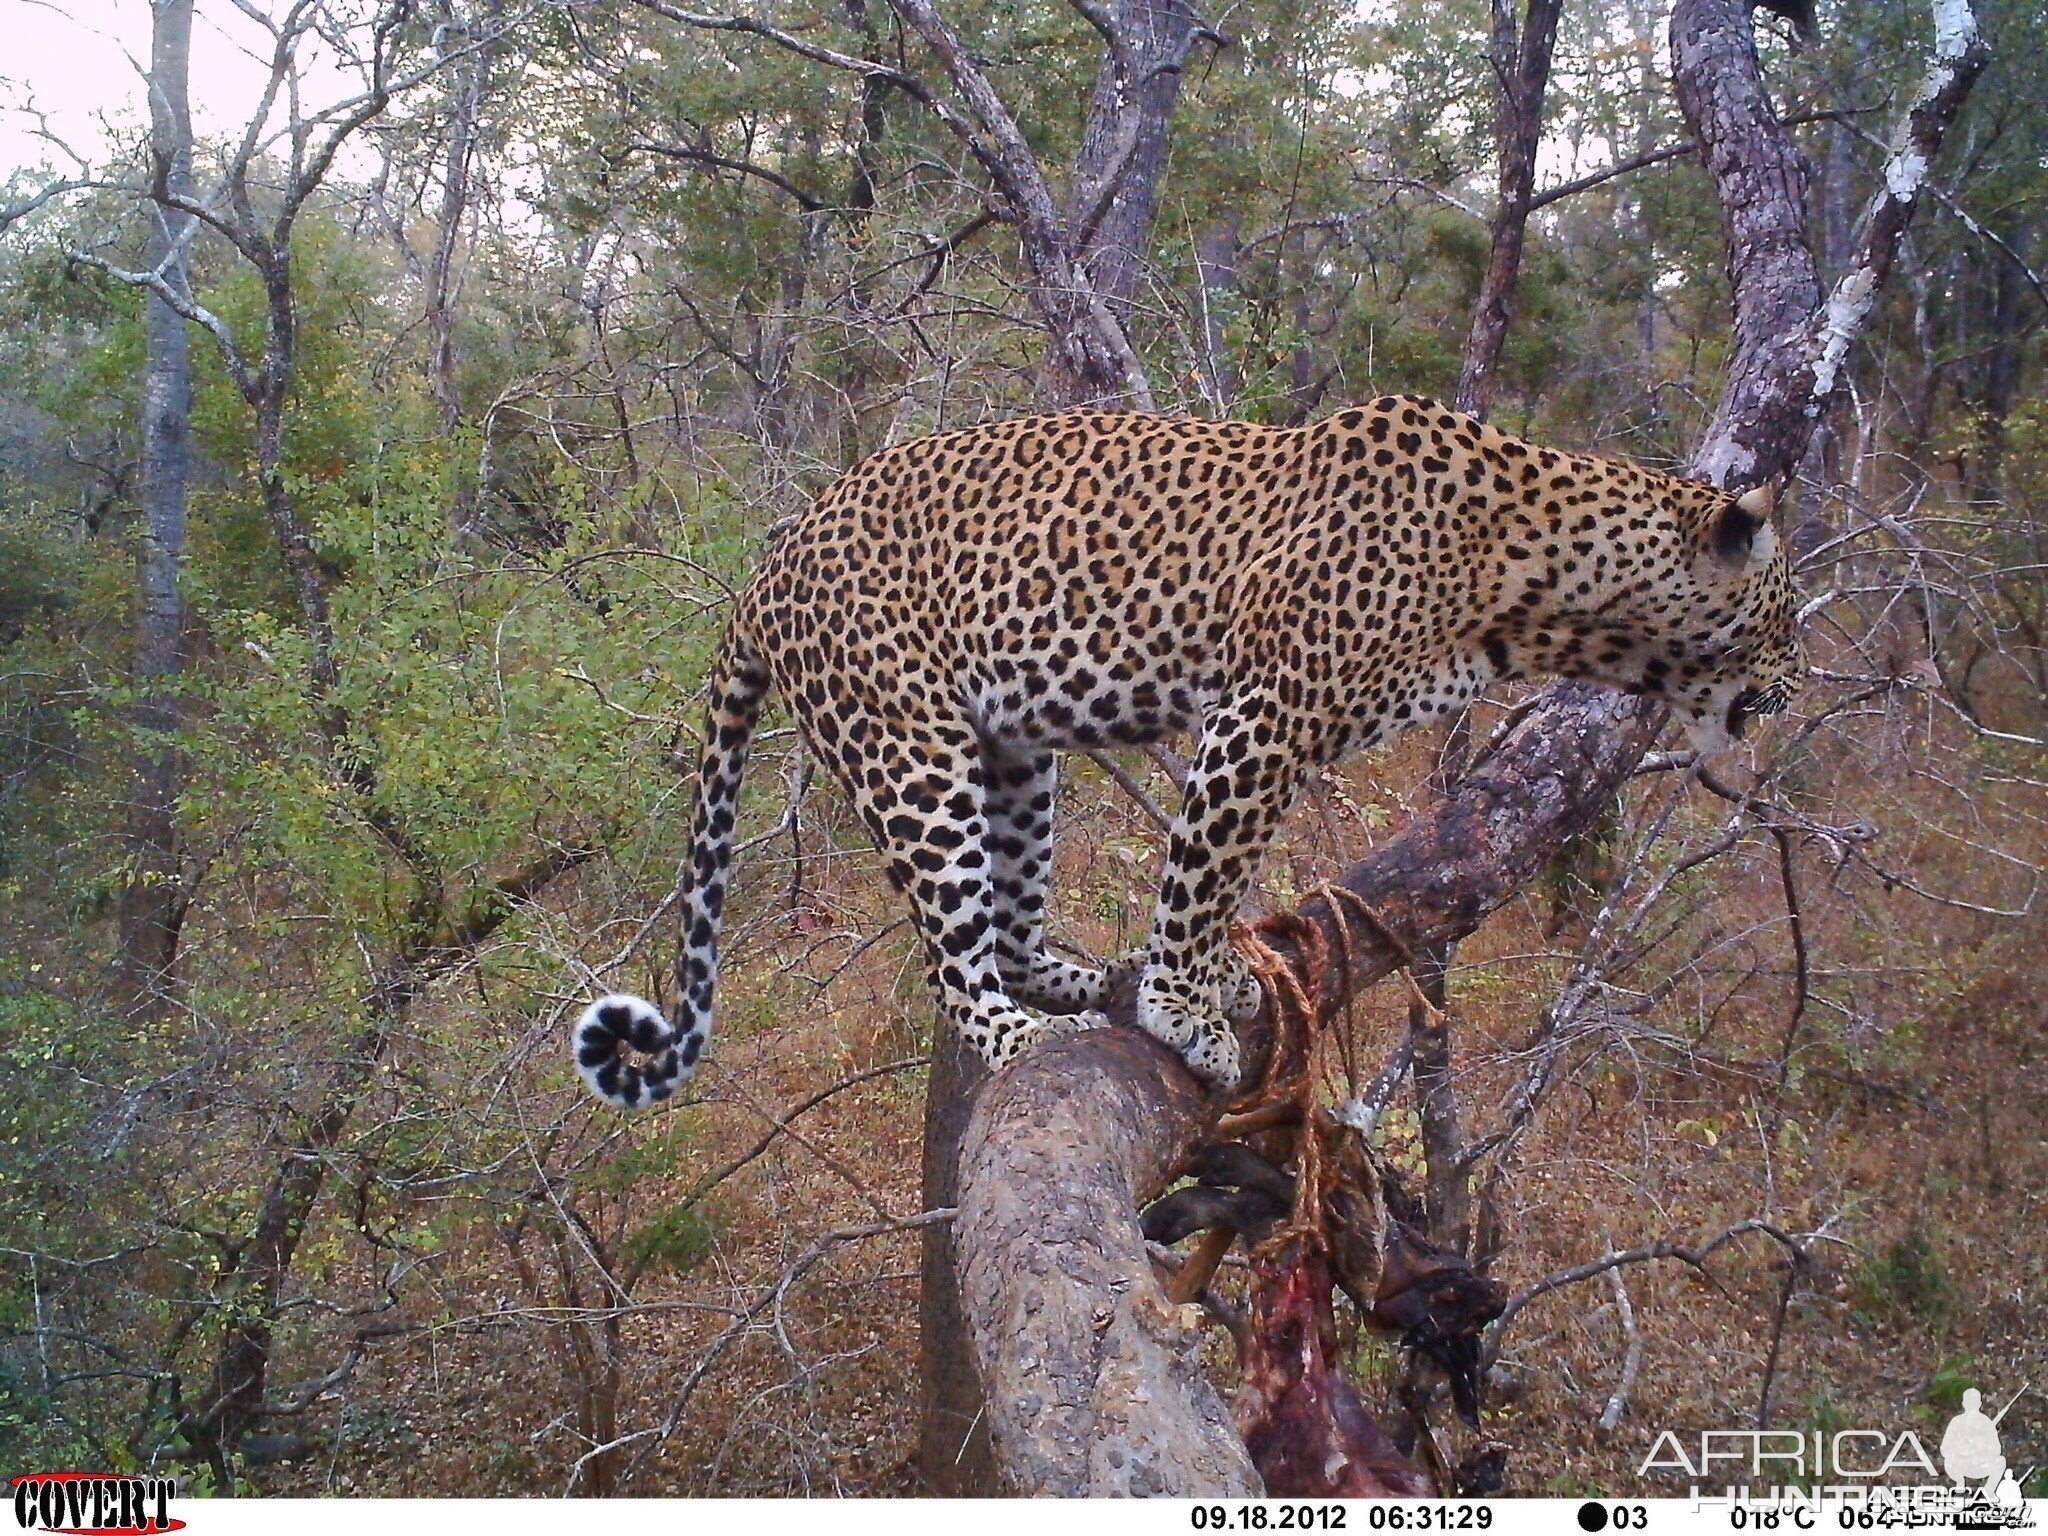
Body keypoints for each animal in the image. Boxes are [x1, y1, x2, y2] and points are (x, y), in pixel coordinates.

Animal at [569, 399, 1802, 1105]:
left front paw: (1209, 981)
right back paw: (1022, 1035)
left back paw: (1079, 978)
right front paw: (1183, 1009)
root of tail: (767, 566)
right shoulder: (1264, 715)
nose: (1790, 693)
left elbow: (1223, 877)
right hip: (910, 752)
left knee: (1008, 924)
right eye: (1786, 614)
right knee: (951, 963)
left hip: (1015, 758)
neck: (1537, 590)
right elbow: (1203, 870)